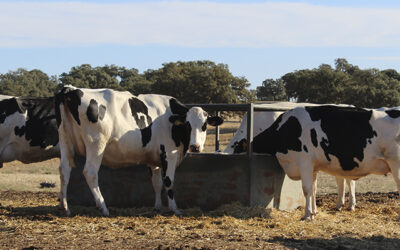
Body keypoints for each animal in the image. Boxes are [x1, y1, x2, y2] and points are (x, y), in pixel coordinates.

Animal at [55, 85, 223, 215]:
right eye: (187, 125)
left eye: (204, 125)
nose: (195, 146)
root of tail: (70, 88)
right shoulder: (168, 154)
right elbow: (168, 181)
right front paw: (175, 209)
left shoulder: (154, 160)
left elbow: (156, 183)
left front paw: (157, 208)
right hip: (96, 144)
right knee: (90, 172)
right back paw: (103, 207)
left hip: (64, 140)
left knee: (64, 169)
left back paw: (65, 207)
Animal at [238, 105, 400, 221]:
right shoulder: (313, 167)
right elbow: (314, 189)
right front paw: (315, 212)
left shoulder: (304, 162)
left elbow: (306, 189)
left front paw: (307, 215)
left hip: (396, 163)